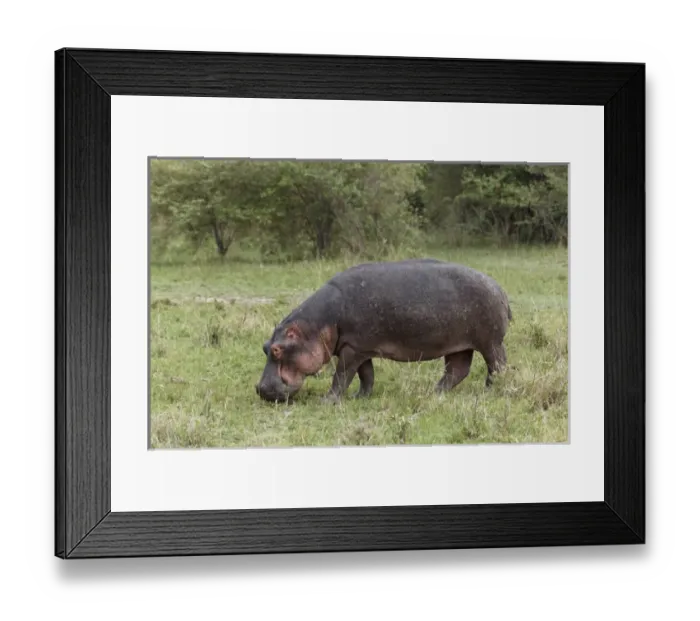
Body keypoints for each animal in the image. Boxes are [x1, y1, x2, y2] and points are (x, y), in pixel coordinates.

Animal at [255, 258, 512, 404]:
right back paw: (432, 392)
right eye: (265, 347)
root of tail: (499, 287)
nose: (261, 389)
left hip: (490, 341)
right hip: (459, 344)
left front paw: (326, 401)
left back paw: (491, 391)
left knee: (497, 365)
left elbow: (341, 376)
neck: (317, 324)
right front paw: (360, 398)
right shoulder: (358, 347)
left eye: (277, 350)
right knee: (457, 370)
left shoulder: (353, 349)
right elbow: (365, 375)